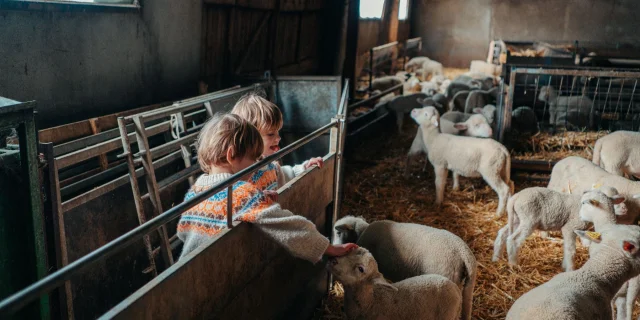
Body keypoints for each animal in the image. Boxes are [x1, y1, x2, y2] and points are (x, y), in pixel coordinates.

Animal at [496, 186, 624, 272]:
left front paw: (564, 265)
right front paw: (570, 269)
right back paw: (514, 264)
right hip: (528, 219)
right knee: (513, 239)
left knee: (502, 233)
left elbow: (567, 247)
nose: (624, 210)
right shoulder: (569, 227)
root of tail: (516, 197)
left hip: (517, 218)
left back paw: (496, 258)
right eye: (583, 203)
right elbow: (571, 250)